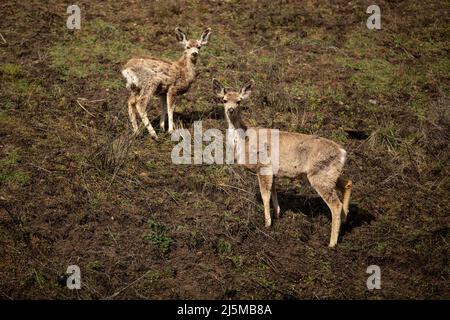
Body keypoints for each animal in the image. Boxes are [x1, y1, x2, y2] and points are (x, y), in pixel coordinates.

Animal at [213, 78, 354, 248]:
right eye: (224, 100)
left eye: (239, 101)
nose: (231, 109)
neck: (243, 141)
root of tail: (342, 152)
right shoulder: (272, 171)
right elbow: (273, 192)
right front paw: (278, 214)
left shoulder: (263, 166)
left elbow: (265, 195)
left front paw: (267, 224)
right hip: (328, 174)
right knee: (348, 183)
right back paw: (345, 220)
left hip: (320, 175)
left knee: (335, 205)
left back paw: (332, 243)